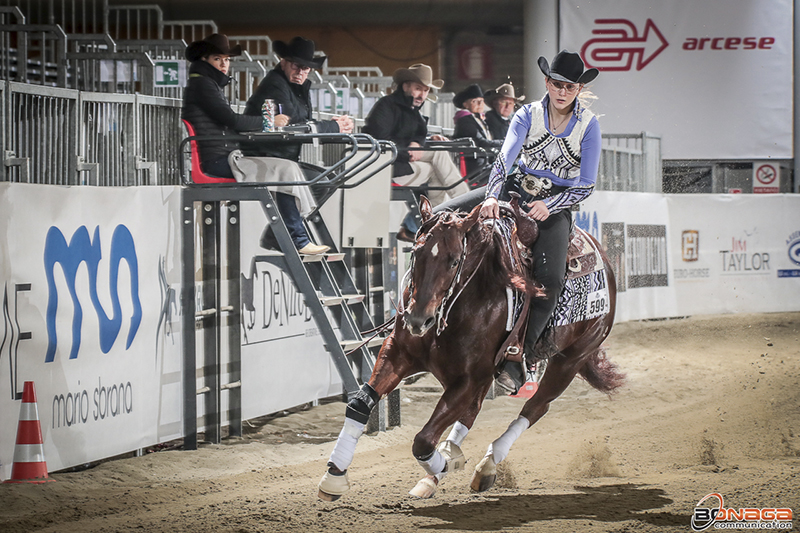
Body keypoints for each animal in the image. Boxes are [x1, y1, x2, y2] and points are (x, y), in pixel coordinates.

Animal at [316, 195, 620, 498]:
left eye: (453, 262)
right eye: (416, 254)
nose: (418, 320)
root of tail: (605, 261)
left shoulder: (469, 378)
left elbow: (423, 440)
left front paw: (445, 464)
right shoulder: (398, 353)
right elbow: (360, 402)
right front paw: (334, 475)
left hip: (569, 361)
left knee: (536, 407)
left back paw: (485, 466)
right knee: (472, 413)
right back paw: (442, 469)